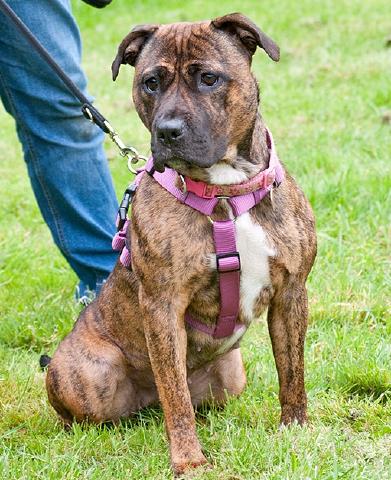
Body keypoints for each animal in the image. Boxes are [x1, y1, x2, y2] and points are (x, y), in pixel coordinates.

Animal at [46, 13, 316, 474]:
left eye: (209, 78)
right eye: (151, 82)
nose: (168, 131)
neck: (225, 192)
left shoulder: (291, 293)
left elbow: (291, 371)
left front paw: (295, 429)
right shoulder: (162, 305)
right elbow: (176, 398)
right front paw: (189, 461)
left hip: (231, 374)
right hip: (87, 373)